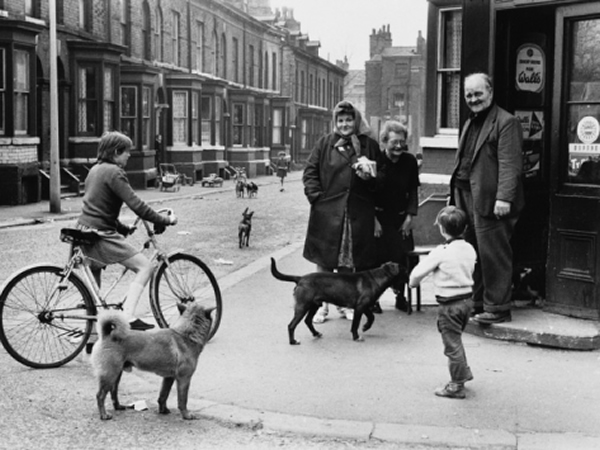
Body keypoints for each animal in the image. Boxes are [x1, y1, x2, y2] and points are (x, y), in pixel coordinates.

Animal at [270, 256, 404, 344]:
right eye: (404, 271)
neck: (376, 277)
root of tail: (300, 278)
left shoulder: (364, 307)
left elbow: (372, 317)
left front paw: (365, 327)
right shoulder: (360, 307)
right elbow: (355, 324)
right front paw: (356, 337)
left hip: (314, 305)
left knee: (307, 321)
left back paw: (316, 333)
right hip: (302, 306)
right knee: (291, 325)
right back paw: (293, 341)